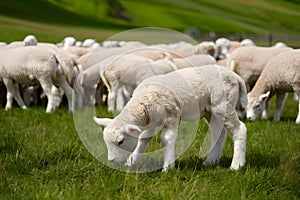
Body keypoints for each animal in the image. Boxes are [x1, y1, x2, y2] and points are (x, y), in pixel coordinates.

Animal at [95, 65, 247, 171]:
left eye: (121, 141)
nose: (111, 160)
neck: (144, 98)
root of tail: (235, 76)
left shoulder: (172, 114)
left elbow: (166, 139)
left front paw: (168, 167)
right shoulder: (152, 120)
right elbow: (143, 138)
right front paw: (132, 161)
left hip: (223, 104)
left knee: (239, 129)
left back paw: (236, 165)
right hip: (210, 110)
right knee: (218, 133)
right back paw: (210, 162)